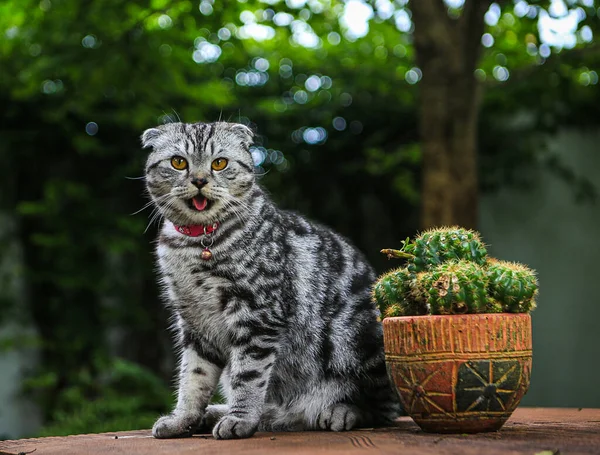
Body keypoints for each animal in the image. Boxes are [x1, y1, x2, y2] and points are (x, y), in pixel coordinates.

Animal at [143, 122, 400, 442]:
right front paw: (183, 419)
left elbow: (248, 375)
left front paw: (239, 418)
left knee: (383, 408)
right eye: (179, 162)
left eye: (219, 163)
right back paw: (218, 414)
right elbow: (193, 378)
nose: (200, 180)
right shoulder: (194, 323)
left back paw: (341, 411)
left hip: (355, 337)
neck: (195, 243)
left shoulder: (257, 315)